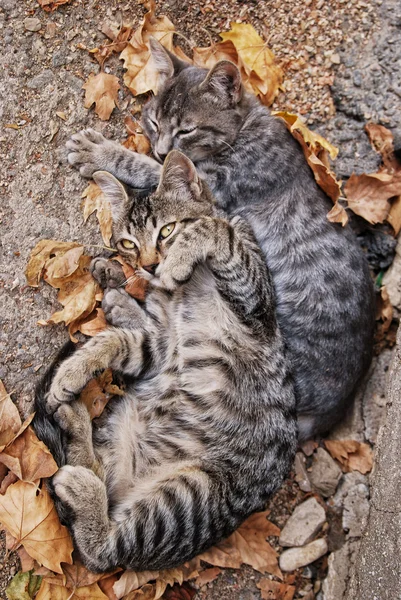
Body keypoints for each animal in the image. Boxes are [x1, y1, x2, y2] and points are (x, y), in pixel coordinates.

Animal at [34, 150, 296, 572]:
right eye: (127, 243)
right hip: (122, 422)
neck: (182, 290)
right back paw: (75, 427)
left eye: (167, 231)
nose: (151, 265)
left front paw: (178, 258)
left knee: (104, 553)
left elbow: (215, 231)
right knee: (99, 481)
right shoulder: (158, 347)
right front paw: (73, 369)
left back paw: (80, 487)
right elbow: (115, 340)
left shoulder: (254, 302)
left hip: (191, 493)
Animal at [65, 39, 376, 438]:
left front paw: (101, 152)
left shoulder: (211, 189)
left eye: (186, 131)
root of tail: (325, 416)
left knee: (171, 338)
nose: (162, 148)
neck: (247, 125)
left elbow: (147, 170)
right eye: (154, 122)